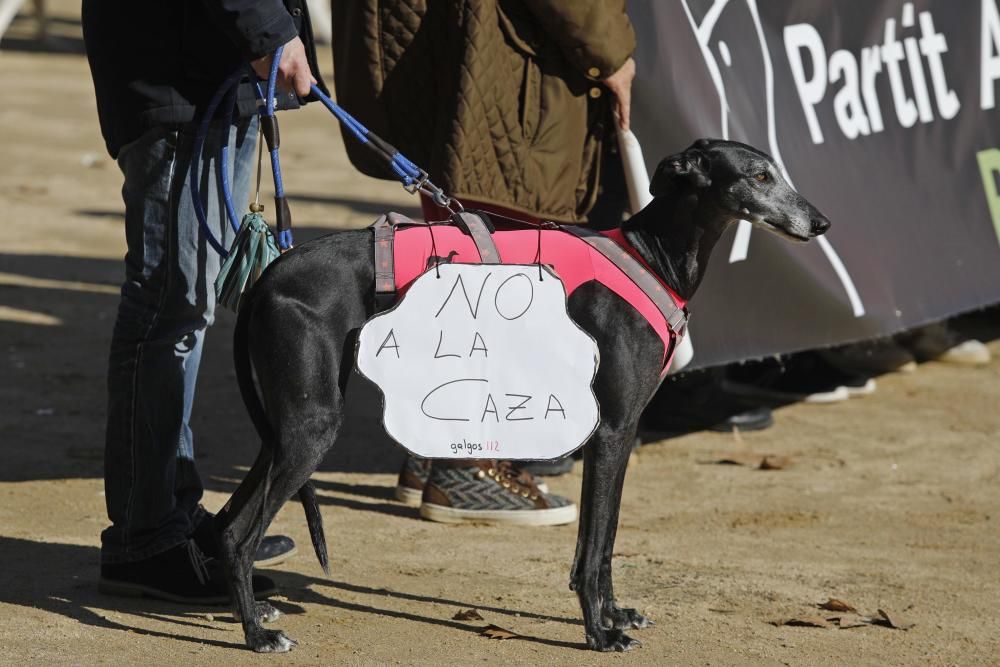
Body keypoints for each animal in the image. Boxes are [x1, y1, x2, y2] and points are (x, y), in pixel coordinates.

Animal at [215, 138, 832, 656]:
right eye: (759, 175)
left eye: (777, 171)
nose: (821, 221)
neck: (650, 254)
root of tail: (267, 277)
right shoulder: (610, 432)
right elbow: (591, 549)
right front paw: (599, 634)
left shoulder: (626, 431)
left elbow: (606, 541)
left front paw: (616, 615)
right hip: (312, 426)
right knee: (242, 536)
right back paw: (257, 637)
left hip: (287, 425)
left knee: (227, 526)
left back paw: (254, 611)